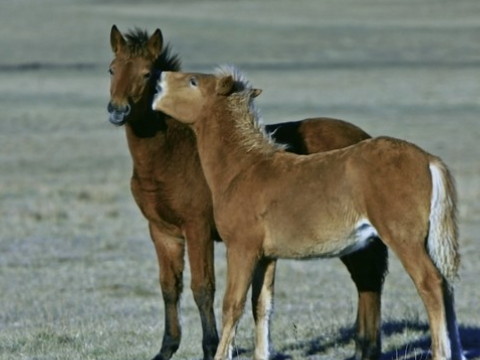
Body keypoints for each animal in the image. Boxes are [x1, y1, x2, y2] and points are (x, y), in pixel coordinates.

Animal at [108, 26, 386, 360]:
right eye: (112, 69)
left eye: (148, 73)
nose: (117, 110)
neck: (171, 158)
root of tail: (362, 136)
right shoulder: (163, 232)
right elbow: (169, 287)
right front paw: (167, 348)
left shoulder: (198, 230)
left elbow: (203, 288)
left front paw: (211, 347)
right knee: (366, 280)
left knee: (367, 277)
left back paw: (366, 348)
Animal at [151, 68, 464, 360]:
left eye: (193, 81)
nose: (160, 77)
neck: (244, 168)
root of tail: (427, 159)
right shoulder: (267, 256)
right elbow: (261, 305)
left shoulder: (242, 248)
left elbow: (232, 305)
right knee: (446, 287)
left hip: (403, 238)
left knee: (431, 284)